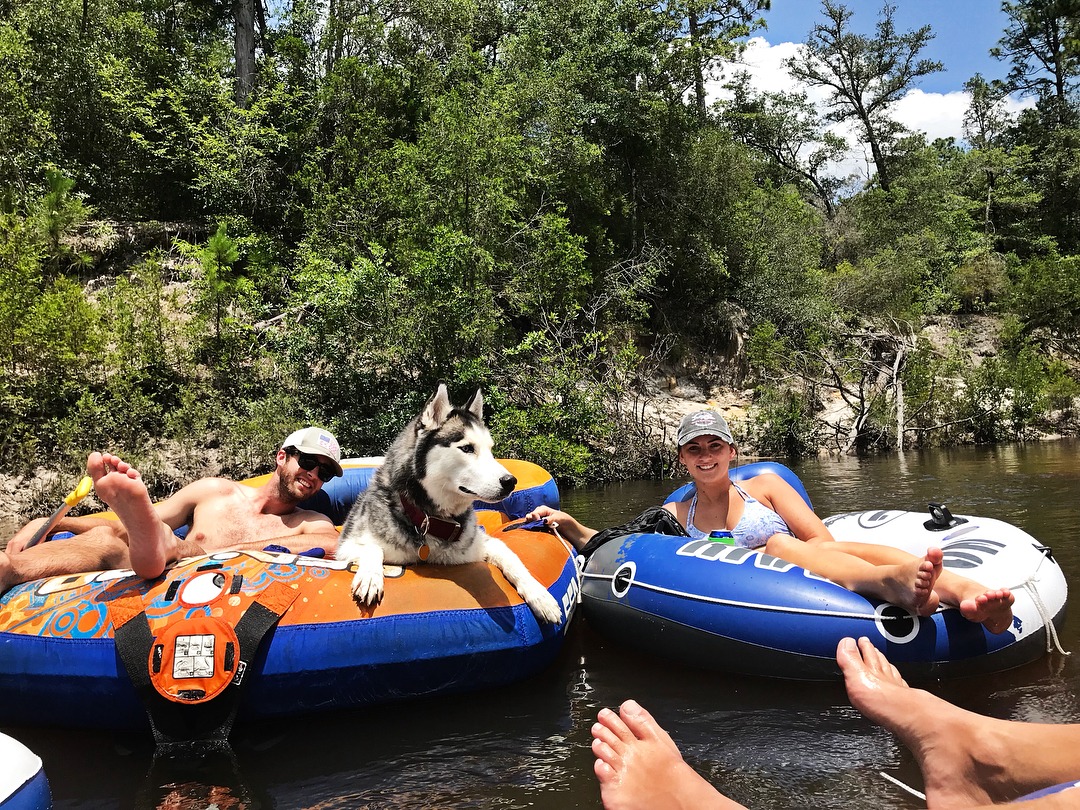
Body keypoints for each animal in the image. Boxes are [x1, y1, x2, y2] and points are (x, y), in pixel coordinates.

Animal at [336, 384, 561, 626]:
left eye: (491, 449)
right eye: (467, 448)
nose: (510, 481)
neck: (429, 519)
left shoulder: (480, 544)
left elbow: (512, 557)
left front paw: (540, 596)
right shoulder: (345, 548)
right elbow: (371, 547)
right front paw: (370, 577)